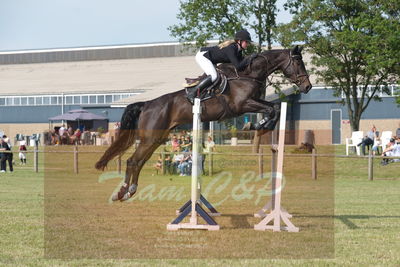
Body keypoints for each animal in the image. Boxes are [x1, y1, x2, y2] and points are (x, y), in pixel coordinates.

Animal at [95, 45, 310, 202]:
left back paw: (130, 191)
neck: (248, 74)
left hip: (156, 138)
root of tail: (147, 104)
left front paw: (261, 125)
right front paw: (257, 125)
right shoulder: (242, 105)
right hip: (150, 137)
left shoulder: (253, 103)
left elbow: (275, 108)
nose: (307, 87)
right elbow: (272, 109)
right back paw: (122, 192)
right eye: (298, 63)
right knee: (133, 161)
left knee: (139, 161)